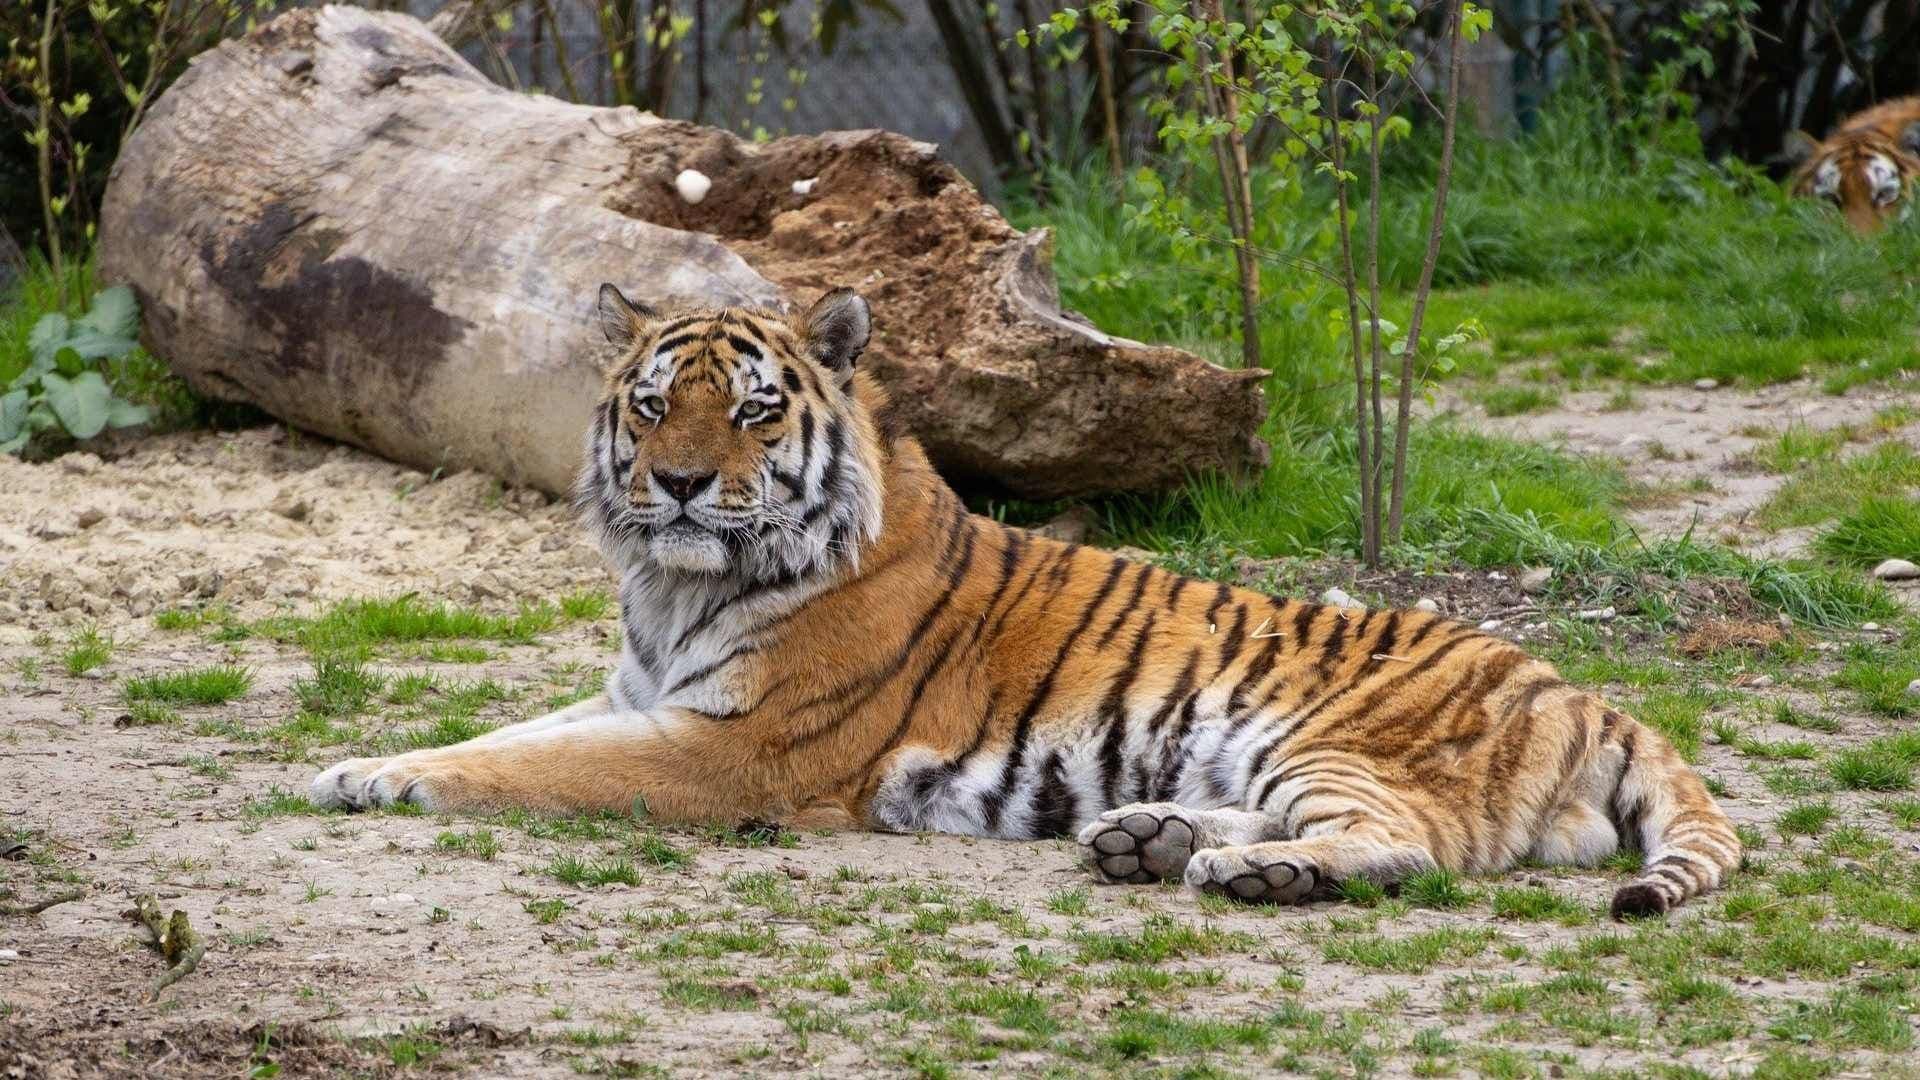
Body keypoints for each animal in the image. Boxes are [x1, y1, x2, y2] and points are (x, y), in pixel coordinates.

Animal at [310, 285, 1740, 918]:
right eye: (656, 404)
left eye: (756, 411)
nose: (674, 482)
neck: (671, 587)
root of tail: (1588, 691)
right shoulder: (637, 693)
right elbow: (508, 734)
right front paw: (356, 764)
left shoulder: (732, 753)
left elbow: (535, 769)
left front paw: (386, 781)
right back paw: (1147, 838)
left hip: (1340, 740)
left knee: (1414, 848)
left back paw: (1245, 870)